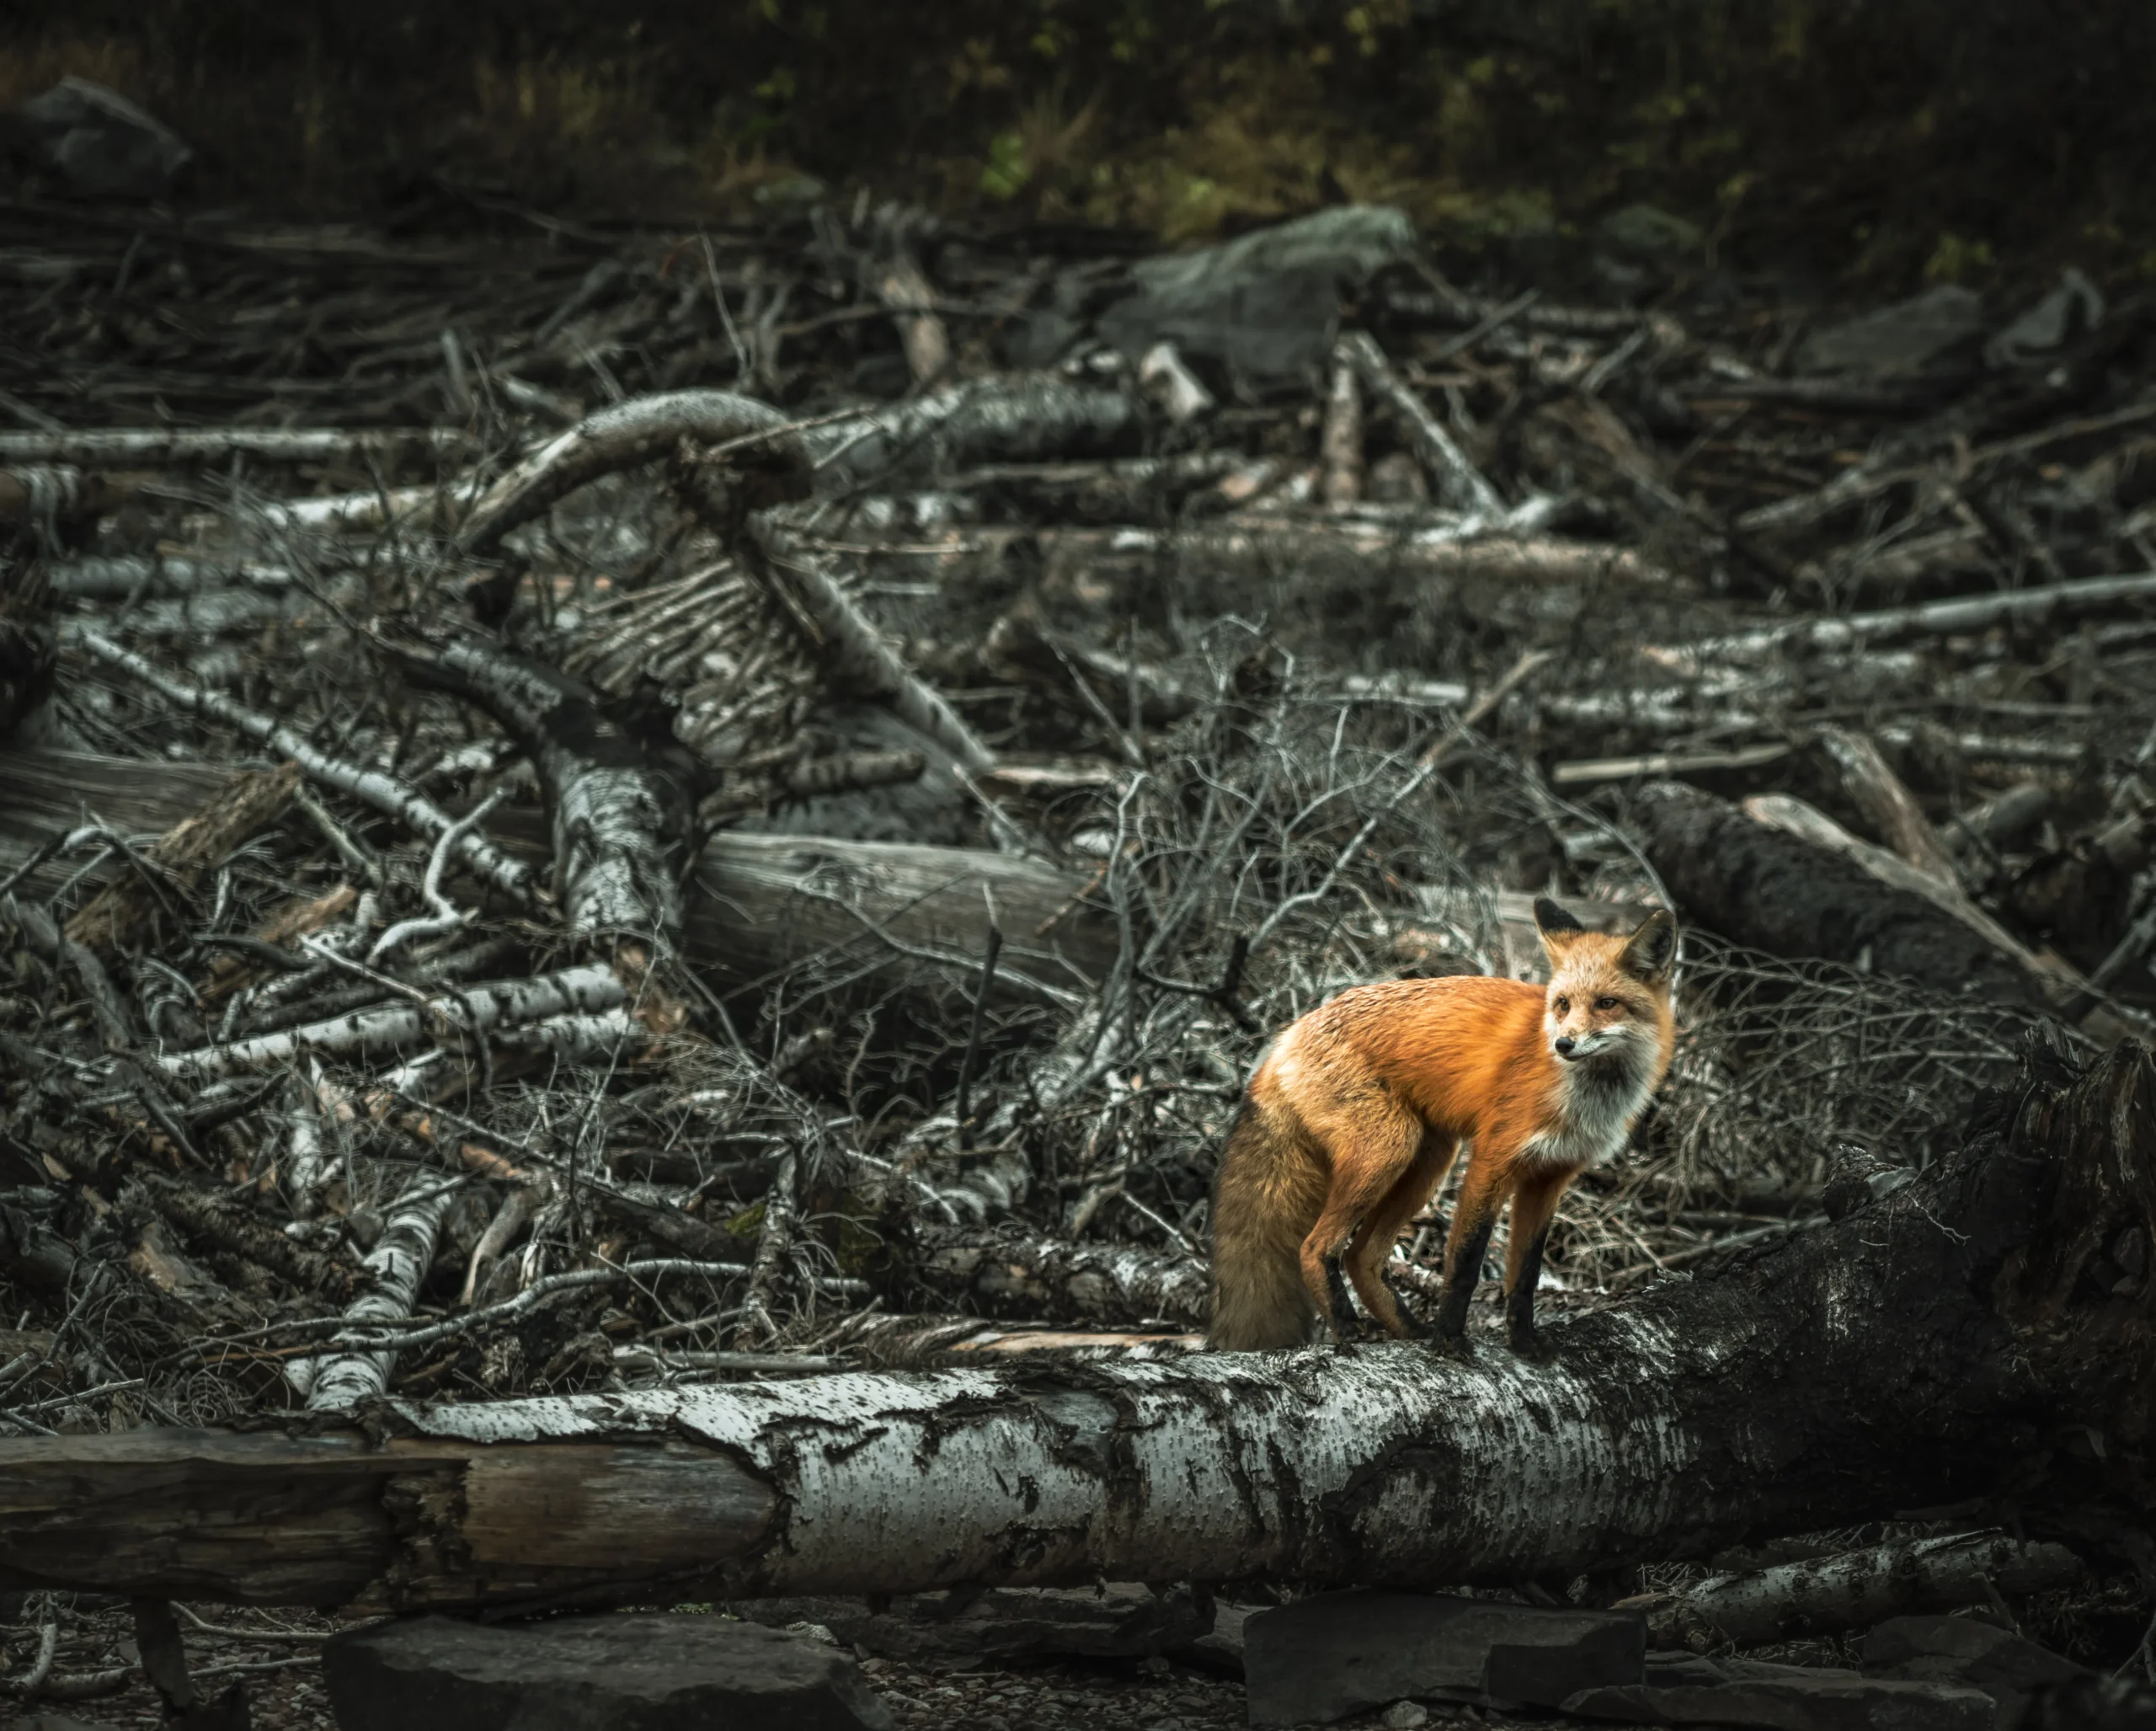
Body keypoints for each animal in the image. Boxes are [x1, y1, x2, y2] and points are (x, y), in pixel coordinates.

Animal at [1207, 897, 1677, 1355]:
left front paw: (1524, 1341)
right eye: (1562, 1004)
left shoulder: (1550, 1177)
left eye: (1606, 1003)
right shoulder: (1492, 1158)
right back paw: (1347, 1327)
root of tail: (1285, 1034)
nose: (1563, 1044)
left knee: (1361, 1257)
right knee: (1315, 1246)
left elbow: (1526, 1274)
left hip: (1428, 1163)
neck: (1584, 1096)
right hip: (1389, 1149)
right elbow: (1466, 1262)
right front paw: (1450, 1339)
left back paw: (1408, 1329)